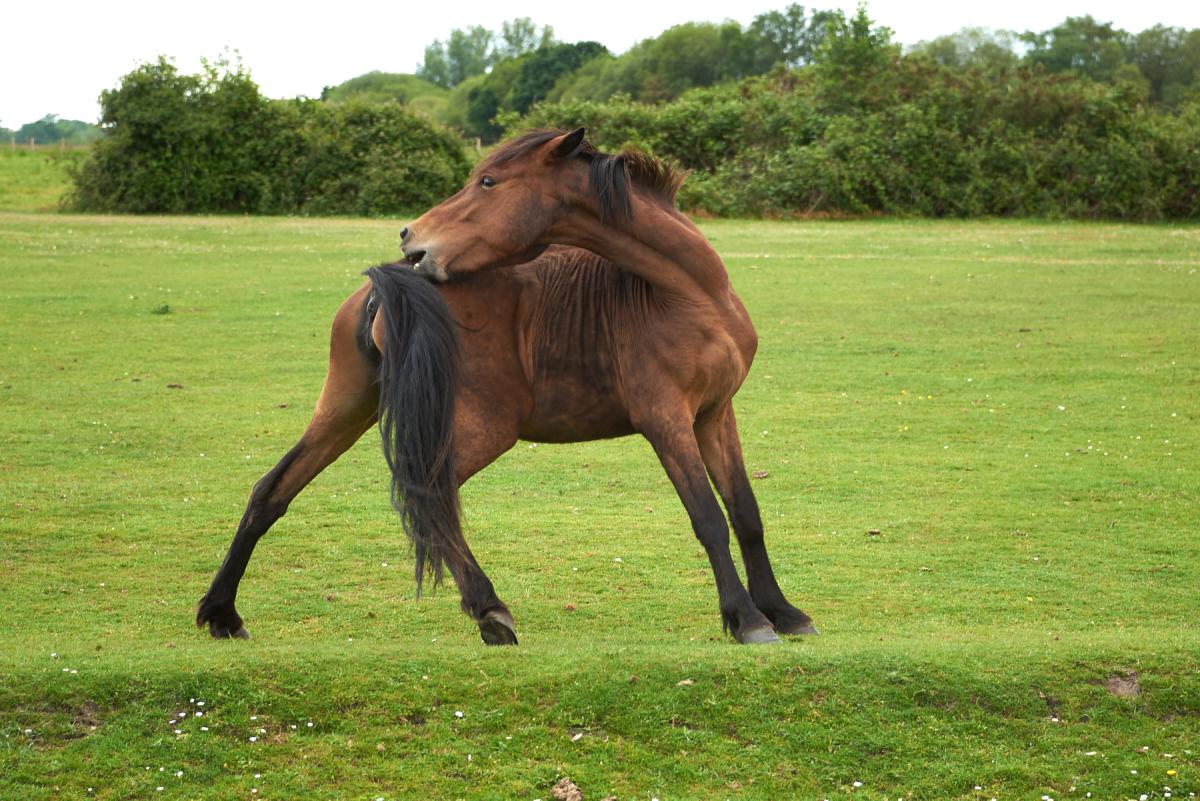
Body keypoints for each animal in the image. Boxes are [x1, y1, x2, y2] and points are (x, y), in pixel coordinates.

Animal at [197, 128, 816, 645]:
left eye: (489, 181)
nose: (410, 235)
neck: (688, 293)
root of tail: (394, 285)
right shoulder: (666, 421)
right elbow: (709, 519)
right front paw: (748, 619)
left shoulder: (715, 415)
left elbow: (746, 513)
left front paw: (785, 612)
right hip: (486, 426)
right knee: (431, 495)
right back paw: (490, 610)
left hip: (348, 410)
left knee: (273, 490)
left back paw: (221, 613)